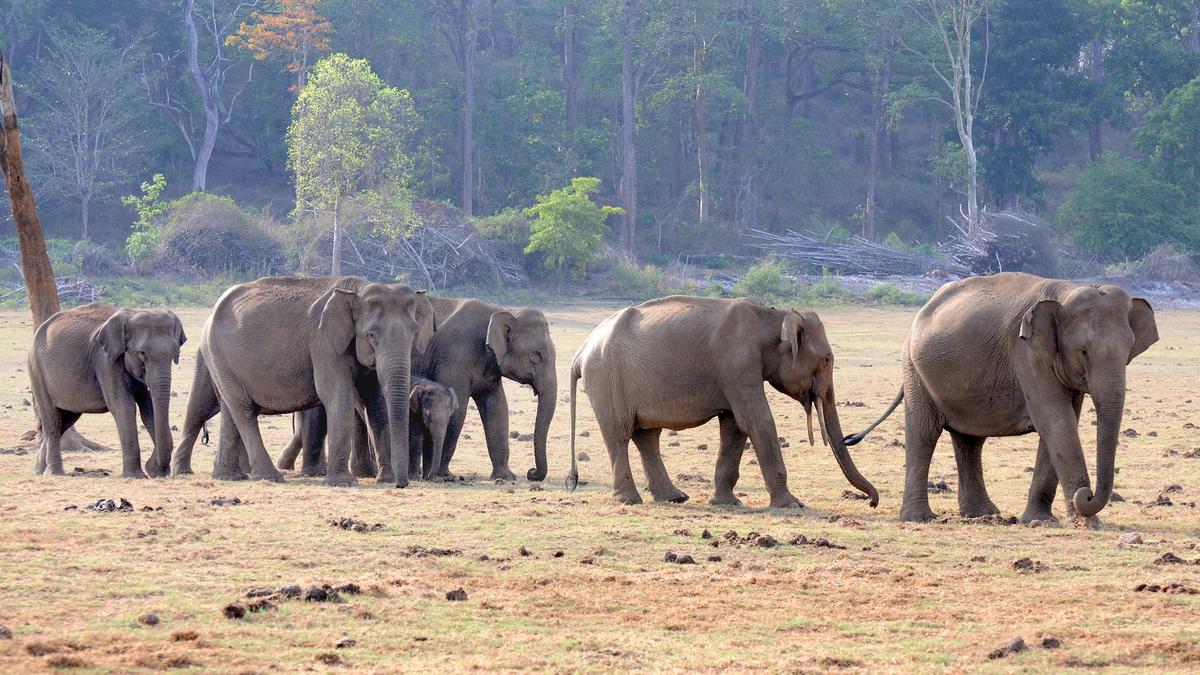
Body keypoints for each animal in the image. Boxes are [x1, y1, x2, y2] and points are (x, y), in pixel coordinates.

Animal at [28, 302, 184, 475]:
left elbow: (148, 408)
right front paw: (137, 475)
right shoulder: (105, 360)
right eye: (142, 353)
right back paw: (54, 472)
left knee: (66, 420)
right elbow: (123, 405)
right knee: (52, 420)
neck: (132, 313)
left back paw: (39, 471)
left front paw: (154, 471)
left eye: (176, 352)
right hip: (37, 370)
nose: (155, 467)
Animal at [169, 276, 432, 485]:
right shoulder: (322, 342)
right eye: (371, 334)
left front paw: (384, 480)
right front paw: (343, 484)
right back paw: (268, 477)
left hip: (223, 361)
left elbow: (376, 403)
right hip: (218, 355)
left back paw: (229, 477)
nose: (402, 485)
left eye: (414, 333)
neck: (357, 289)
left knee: (229, 410)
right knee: (239, 410)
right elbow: (336, 394)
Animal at [417, 296, 556, 480]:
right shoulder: (453, 359)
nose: (531, 472)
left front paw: (505, 477)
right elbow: (456, 411)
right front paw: (444, 476)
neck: (502, 311)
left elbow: (498, 409)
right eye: (536, 355)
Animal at [566, 291, 878, 506]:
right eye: (826, 360)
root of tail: (581, 351)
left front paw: (727, 503)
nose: (873, 503)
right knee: (619, 434)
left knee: (647, 435)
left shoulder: (736, 373)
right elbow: (757, 421)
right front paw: (794, 505)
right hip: (606, 380)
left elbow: (735, 426)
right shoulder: (736, 363)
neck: (772, 316)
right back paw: (630, 500)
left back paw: (675, 497)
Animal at [840, 270, 1156, 523]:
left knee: (969, 440)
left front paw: (1041, 521)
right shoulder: (1026, 353)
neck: (1066, 292)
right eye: (1084, 352)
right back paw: (921, 518)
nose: (1085, 495)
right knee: (925, 432)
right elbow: (1057, 422)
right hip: (914, 368)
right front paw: (1087, 523)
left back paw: (983, 515)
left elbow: (1060, 425)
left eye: (1129, 350)